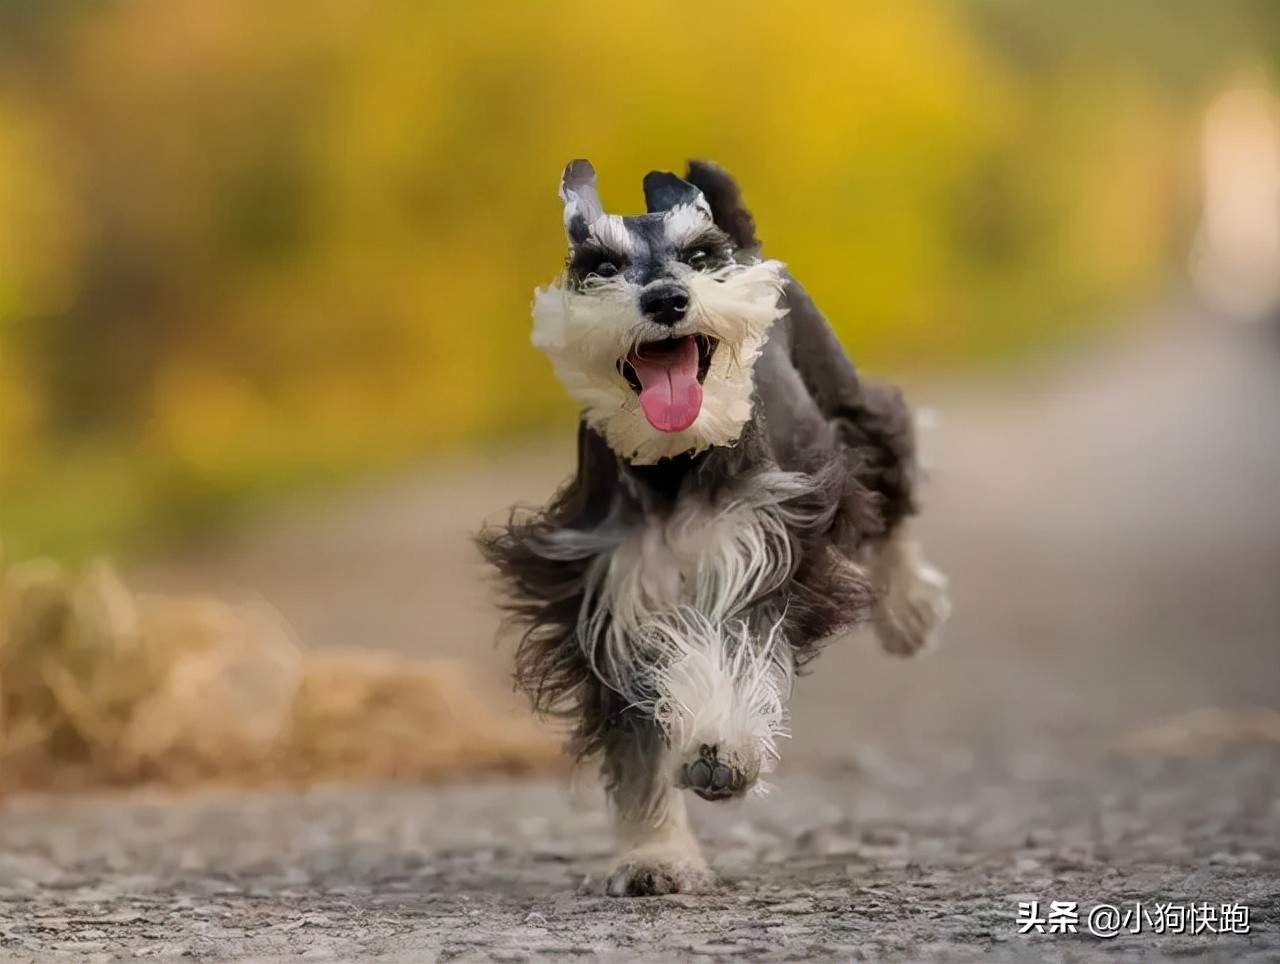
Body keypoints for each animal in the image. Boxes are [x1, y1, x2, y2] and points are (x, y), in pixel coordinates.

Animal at [481, 160, 952, 896]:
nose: (667, 299)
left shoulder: (766, 551)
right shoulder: (610, 595)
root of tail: (747, 242)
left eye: (698, 257)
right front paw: (656, 855)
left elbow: (739, 650)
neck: (675, 461)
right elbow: (636, 743)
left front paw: (722, 749)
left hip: (841, 399)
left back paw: (910, 611)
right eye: (602, 265)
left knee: (889, 464)